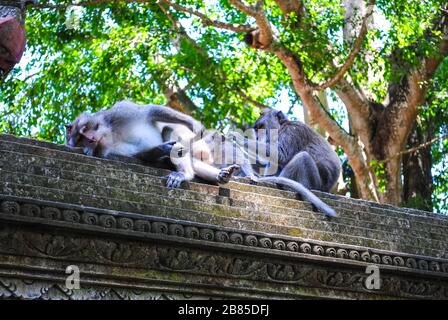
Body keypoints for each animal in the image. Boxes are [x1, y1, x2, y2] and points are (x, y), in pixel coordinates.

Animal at [65, 100, 240, 188]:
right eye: (80, 141)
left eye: (84, 131)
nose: (91, 140)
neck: (113, 135)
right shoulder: (116, 150)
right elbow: (141, 154)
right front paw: (162, 148)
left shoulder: (120, 113)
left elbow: (150, 111)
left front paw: (197, 126)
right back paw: (220, 175)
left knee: (171, 131)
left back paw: (185, 174)